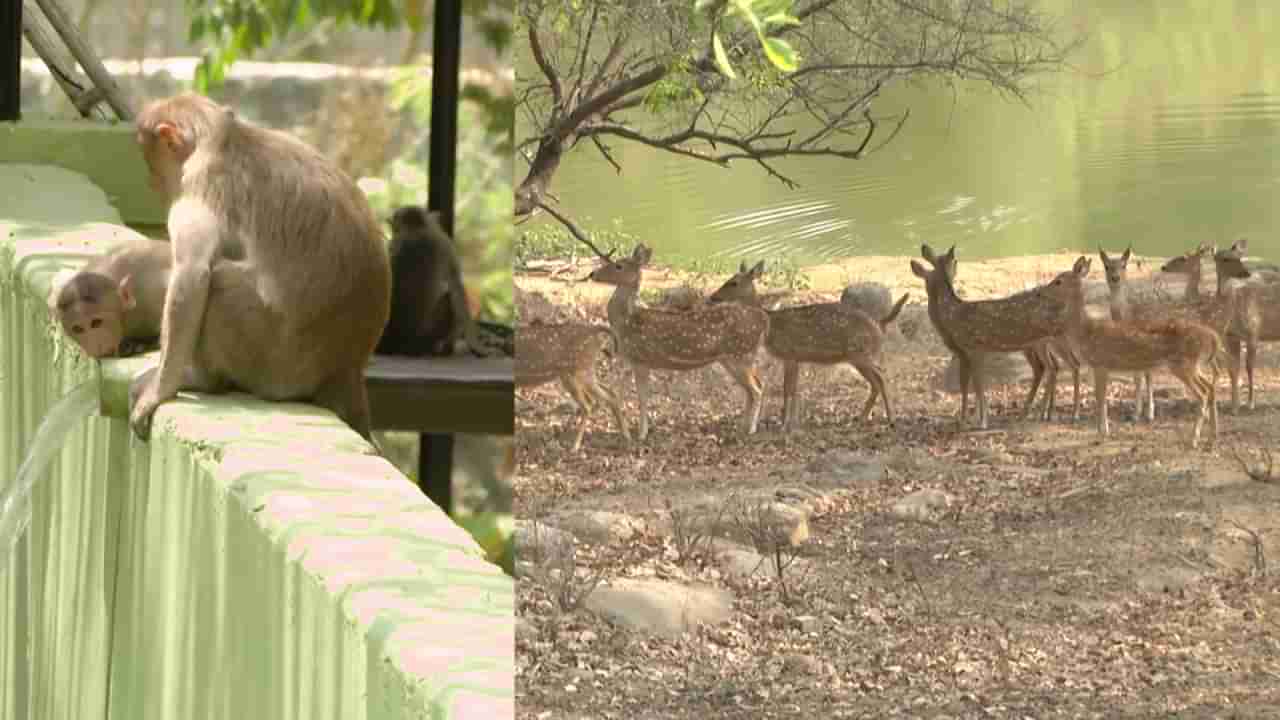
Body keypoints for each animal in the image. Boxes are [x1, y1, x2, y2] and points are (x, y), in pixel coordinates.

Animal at [512, 322, 627, 450]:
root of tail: (595, 331)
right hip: (581, 373)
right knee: (606, 394)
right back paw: (626, 436)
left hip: (577, 372)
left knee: (590, 404)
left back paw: (574, 446)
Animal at [586, 243, 768, 440]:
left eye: (618, 265)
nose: (592, 273)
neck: (627, 321)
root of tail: (763, 320)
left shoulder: (640, 359)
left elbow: (642, 398)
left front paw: (641, 434)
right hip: (736, 357)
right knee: (754, 386)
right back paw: (742, 426)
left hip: (740, 354)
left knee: (757, 388)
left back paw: (751, 429)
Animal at [706, 263, 906, 430]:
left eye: (733, 283)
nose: (712, 297)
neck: (771, 326)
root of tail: (878, 324)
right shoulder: (794, 358)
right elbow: (792, 388)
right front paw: (789, 422)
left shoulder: (791, 353)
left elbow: (788, 389)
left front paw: (784, 424)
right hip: (860, 356)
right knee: (877, 380)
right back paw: (863, 417)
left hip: (860, 353)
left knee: (880, 378)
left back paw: (890, 418)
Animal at [1039, 257, 1218, 445]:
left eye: (1058, 281)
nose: (1041, 293)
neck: (1086, 331)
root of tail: (1213, 338)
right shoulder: (1100, 366)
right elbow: (1101, 398)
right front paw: (1103, 431)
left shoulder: (1100, 363)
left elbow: (1100, 398)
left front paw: (1102, 433)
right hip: (1194, 366)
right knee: (1210, 387)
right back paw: (1213, 435)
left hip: (1184, 365)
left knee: (1203, 394)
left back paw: (1194, 440)